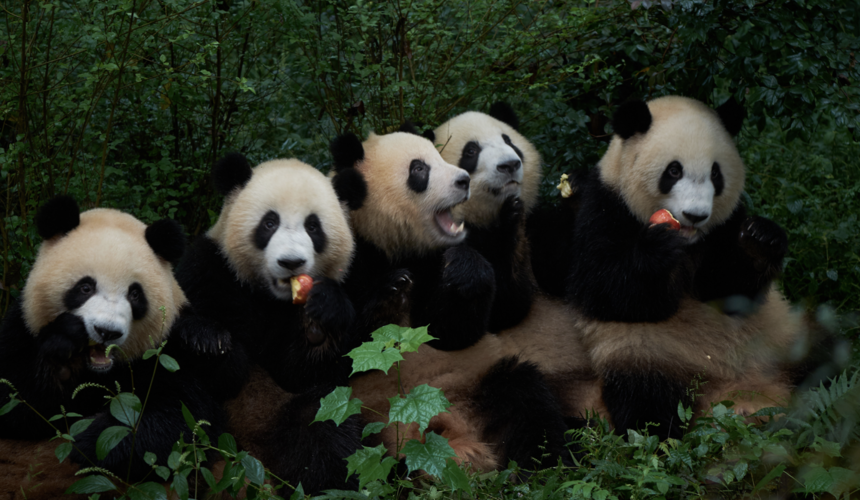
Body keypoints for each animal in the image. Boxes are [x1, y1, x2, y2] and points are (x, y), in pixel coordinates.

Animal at [0, 196, 225, 492]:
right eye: (85, 287)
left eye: (135, 293)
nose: (106, 331)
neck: (99, 372)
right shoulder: (22, 327)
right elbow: (16, 401)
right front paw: (62, 354)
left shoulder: (167, 353)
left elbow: (184, 415)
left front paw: (92, 439)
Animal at [173, 155, 362, 494]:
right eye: (269, 223)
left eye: (313, 226)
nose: (291, 262)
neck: (270, 296)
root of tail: (253, 454)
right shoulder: (209, 270)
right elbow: (226, 373)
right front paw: (206, 341)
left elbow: (300, 373)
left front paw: (318, 324)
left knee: (325, 425)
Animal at [330, 130, 573, 473]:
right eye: (419, 169)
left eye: (440, 155)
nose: (463, 180)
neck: (396, 244)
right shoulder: (346, 256)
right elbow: (335, 356)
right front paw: (392, 294)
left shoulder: (443, 258)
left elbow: (471, 325)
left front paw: (479, 252)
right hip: (360, 415)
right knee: (333, 442)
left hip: (484, 379)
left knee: (528, 402)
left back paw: (544, 467)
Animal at [560, 95, 808, 439]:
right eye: (674, 171)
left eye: (716, 174)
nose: (695, 215)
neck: (689, 242)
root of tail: (730, 392)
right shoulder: (605, 207)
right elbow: (602, 288)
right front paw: (657, 247)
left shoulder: (724, 226)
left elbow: (729, 290)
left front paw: (761, 239)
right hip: (646, 353)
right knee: (646, 399)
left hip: (782, 338)